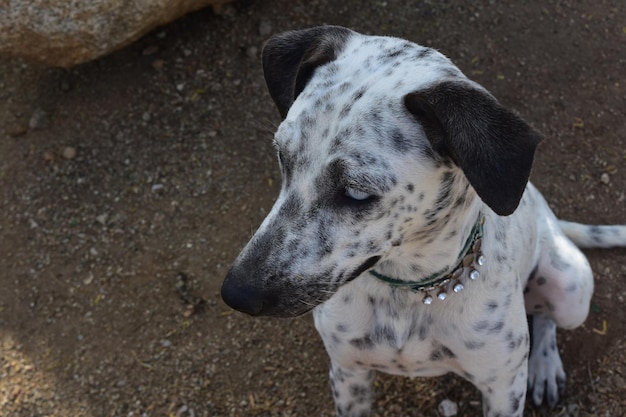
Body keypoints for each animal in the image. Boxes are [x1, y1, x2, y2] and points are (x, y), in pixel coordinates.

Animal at [221, 26, 624, 416]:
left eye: (356, 193)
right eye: (283, 157)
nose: (236, 294)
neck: (409, 291)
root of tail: (550, 218)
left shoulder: (503, 388)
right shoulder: (348, 373)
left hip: (570, 291)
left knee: (547, 317)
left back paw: (545, 365)